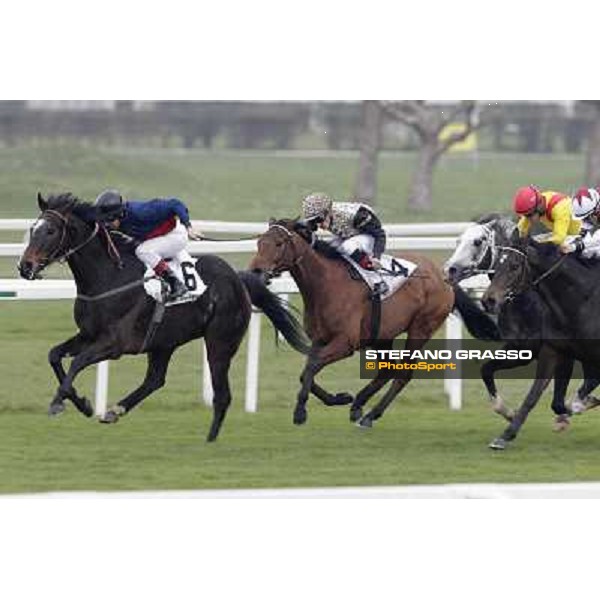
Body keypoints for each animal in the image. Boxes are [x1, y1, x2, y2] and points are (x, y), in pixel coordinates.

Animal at [17, 195, 310, 442]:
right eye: (33, 229)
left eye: (50, 231)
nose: (24, 266)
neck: (109, 277)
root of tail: (238, 279)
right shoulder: (88, 335)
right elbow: (54, 356)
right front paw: (83, 404)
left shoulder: (113, 344)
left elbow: (77, 362)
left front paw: (58, 403)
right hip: (163, 341)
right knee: (155, 379)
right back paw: (115, 410)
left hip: (220, 342)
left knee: (222, 395)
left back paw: (210, 438)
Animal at [246, 218, 500, 428]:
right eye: (259, 243)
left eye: (279, 243)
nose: (255, 272)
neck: (326, 284)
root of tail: (443, 276)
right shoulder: (320, 339)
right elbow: (307, 370)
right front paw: (340, 398)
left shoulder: (345, 343)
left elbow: (311, 367)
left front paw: (300, 412)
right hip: (382, 335)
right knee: (387, 369)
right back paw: (358, 404)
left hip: (421, 327)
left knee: (403, 373)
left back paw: (371, 414)